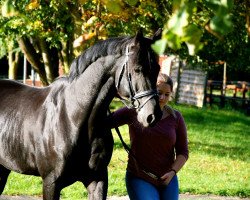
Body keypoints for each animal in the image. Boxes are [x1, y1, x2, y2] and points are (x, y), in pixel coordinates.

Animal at [0, 30, 162, 199]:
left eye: (157, 68)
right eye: (137, 69)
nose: (153, 115)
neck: (73, 117)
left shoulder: (98, 180)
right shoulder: (51, 183)